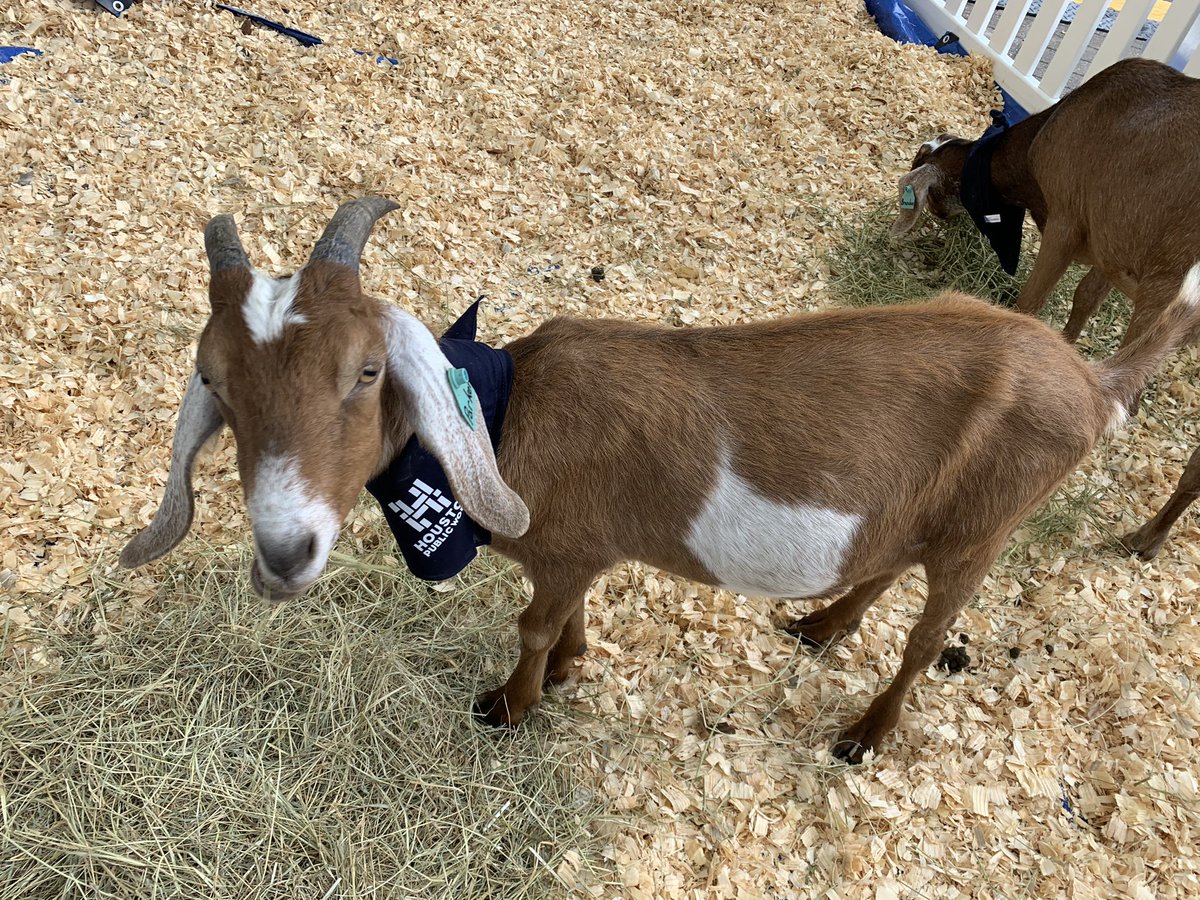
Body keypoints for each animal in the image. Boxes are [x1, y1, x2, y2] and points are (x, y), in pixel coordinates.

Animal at [120, 197, 1200, 763]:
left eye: (369, 372)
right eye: (217, 381)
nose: (284, 549)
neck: (502, 419)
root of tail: (1091, 383)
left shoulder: (563, 550)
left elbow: (532, 623)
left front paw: (512, 704)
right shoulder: (582, 552)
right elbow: (568, 615)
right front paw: (570, 668)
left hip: (990, 524)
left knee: (931, 634)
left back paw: (864, 732)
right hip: (925, 514)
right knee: (890, 564)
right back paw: (822, 626)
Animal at [892, 58, 1200, 351]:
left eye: (931, 198)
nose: (940, 215)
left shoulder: (1064, 221)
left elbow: (1029, 302)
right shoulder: (1112, 245)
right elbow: (1086, 295)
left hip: (1163, 289)